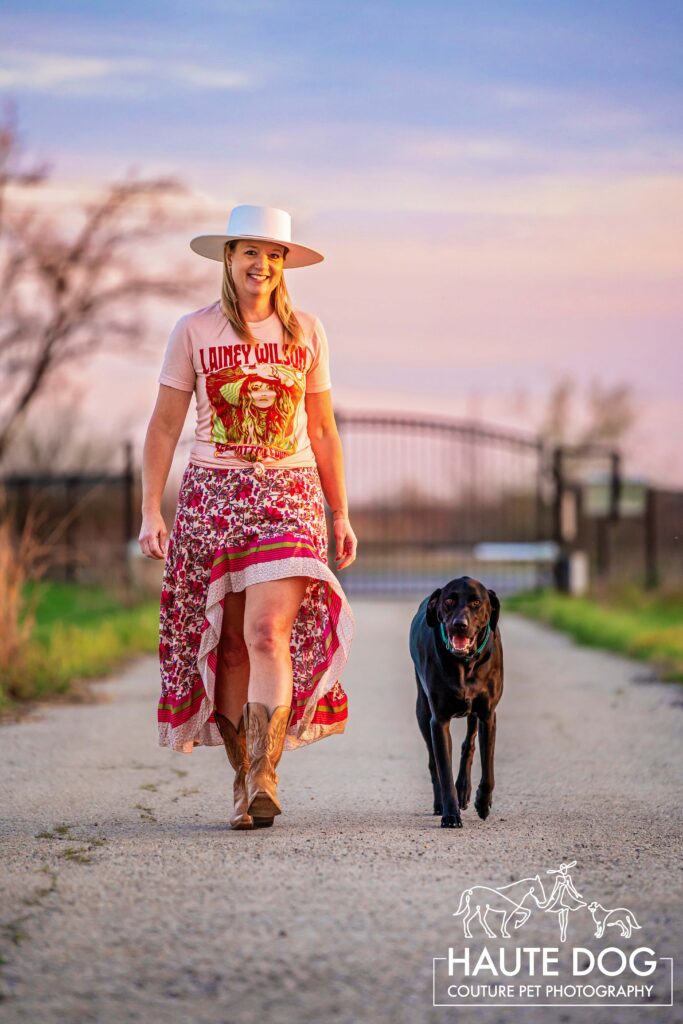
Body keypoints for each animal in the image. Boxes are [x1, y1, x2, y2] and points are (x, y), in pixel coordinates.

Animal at [411, 581, 501, 827]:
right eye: (449, 601)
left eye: (476, 602)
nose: (460, 625)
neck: (464, 664)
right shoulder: (438, 721)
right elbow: (444, 770)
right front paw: (450, 814)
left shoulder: (488, 715)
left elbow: (488, 768)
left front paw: (483, 802)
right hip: (422, 712)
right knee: (433, 763)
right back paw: (441, 803)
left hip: (474, 714)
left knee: (468, 744)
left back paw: (465, 790)